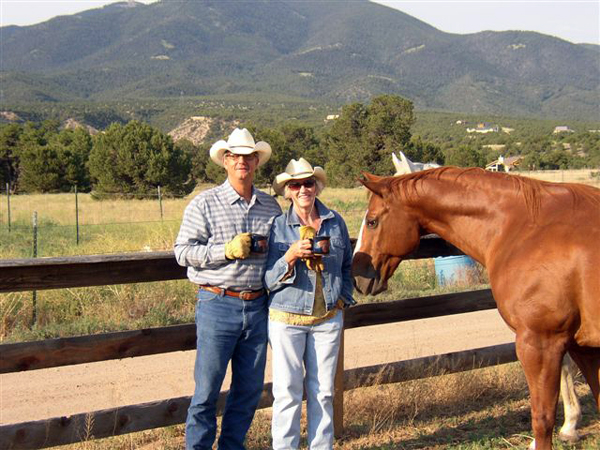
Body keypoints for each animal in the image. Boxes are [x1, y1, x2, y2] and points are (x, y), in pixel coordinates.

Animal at [352, 167, 600, 448]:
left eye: (372, 222)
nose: (356, 275)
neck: (525, 229)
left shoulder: (539, 342)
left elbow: (543, 418)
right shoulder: (583, 347)